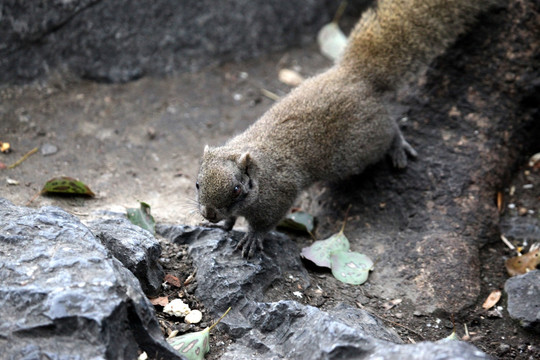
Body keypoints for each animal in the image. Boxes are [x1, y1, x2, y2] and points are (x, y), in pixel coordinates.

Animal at [194, 0, 498, 256]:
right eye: (197, 184)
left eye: (236, 189)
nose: (209, 214)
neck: (258, 168)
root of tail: (355, 75)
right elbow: (232, 219)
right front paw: (223, 225)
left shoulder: (278, 195)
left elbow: (265, 222)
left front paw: (252, 237)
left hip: (361, 147)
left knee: (389, 129)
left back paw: (397, 146)